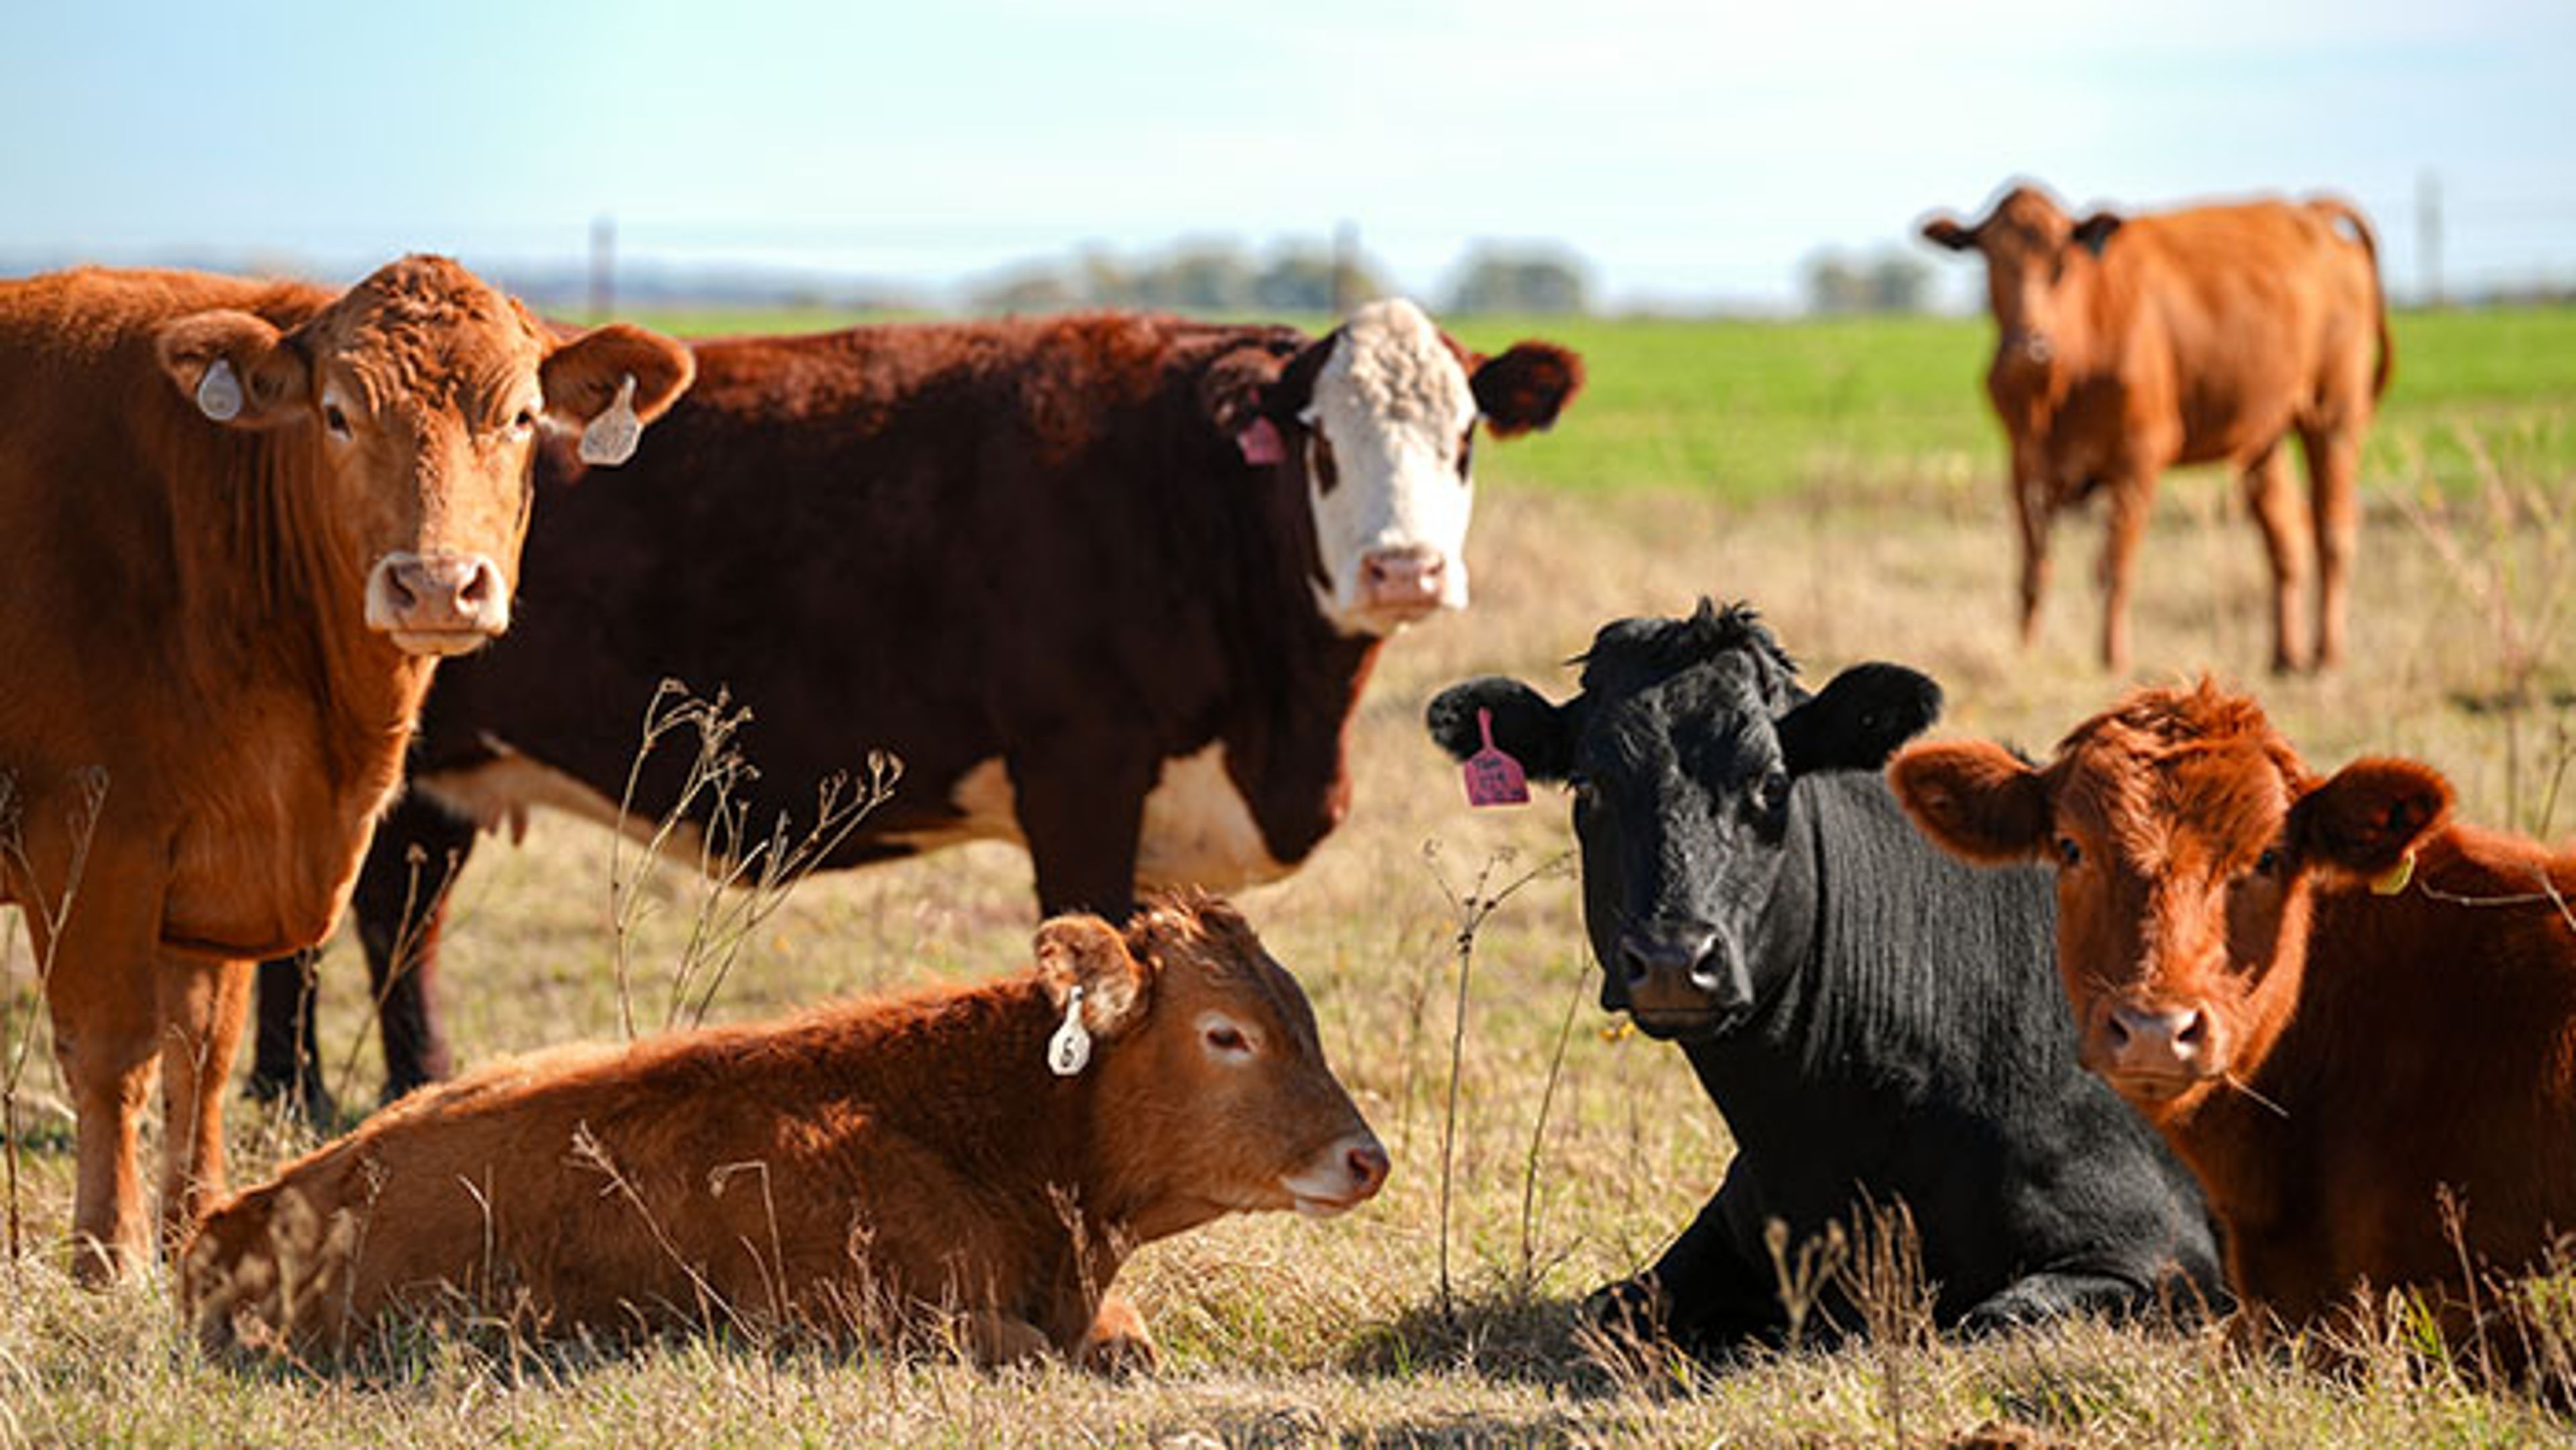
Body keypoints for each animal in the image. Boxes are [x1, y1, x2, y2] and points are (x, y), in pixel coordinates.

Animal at [0, 258, 692, 1281]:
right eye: (336, 413)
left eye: (523, 415)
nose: (438, 584)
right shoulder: (91, 834)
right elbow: (114, 1052)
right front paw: (108, 1254)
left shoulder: (214, 855)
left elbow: (203, 1054)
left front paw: (196, 1224)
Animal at [248, 300, 1582, 1115]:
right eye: (1318, 444)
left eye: (1464, 440)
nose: (1403, 567)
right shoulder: (1081, 771)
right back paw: (289, 1095)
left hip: (434, 777)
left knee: (395, 917)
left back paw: (408, 1089)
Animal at [1424, 602, 2223, 1353]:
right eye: (1587, 786)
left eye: (1772, 782)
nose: (1674, 959)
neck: (1819, 1133)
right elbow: (1609, 1311)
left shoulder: (2161, 1251)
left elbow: (1999, 1315)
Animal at [1919, 182, 2391, 674]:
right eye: (1991, 259)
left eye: (2060, 264)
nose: (2029, 347)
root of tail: (2309, 214)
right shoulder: (2025, 467)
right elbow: (2033, 571)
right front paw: (2026, 654)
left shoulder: (2138, 457)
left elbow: (2114, 565)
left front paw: (2113, 659)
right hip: (2265, 436)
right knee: (2285, 535)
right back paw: (2284, 657)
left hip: (2333, 418)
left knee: (2334, 530)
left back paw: (2327, 656)